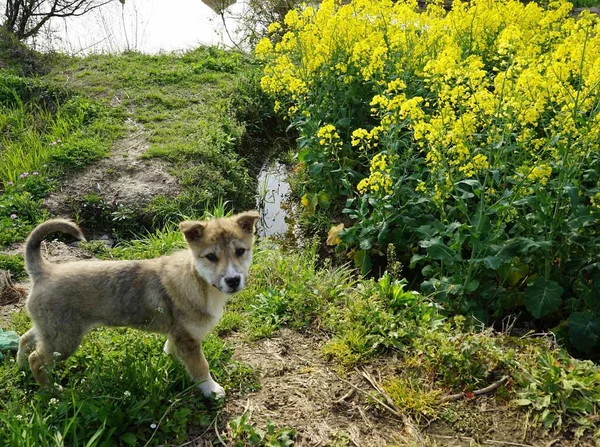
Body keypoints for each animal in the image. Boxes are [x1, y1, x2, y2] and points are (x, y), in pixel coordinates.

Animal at [16, 212, 258, 400]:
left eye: (240, 251)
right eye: (211, 256)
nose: (233, 280)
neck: (198, 281)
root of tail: (44, 271)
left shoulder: (178, 333)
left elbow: (171, 349)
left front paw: (171, 363)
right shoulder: (188, 339)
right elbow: (201, 367)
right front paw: (211, 390)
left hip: (49, 330)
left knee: (25, 339)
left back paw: (19, 366)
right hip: (64, 339)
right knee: (36, 359)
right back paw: (51, 390)